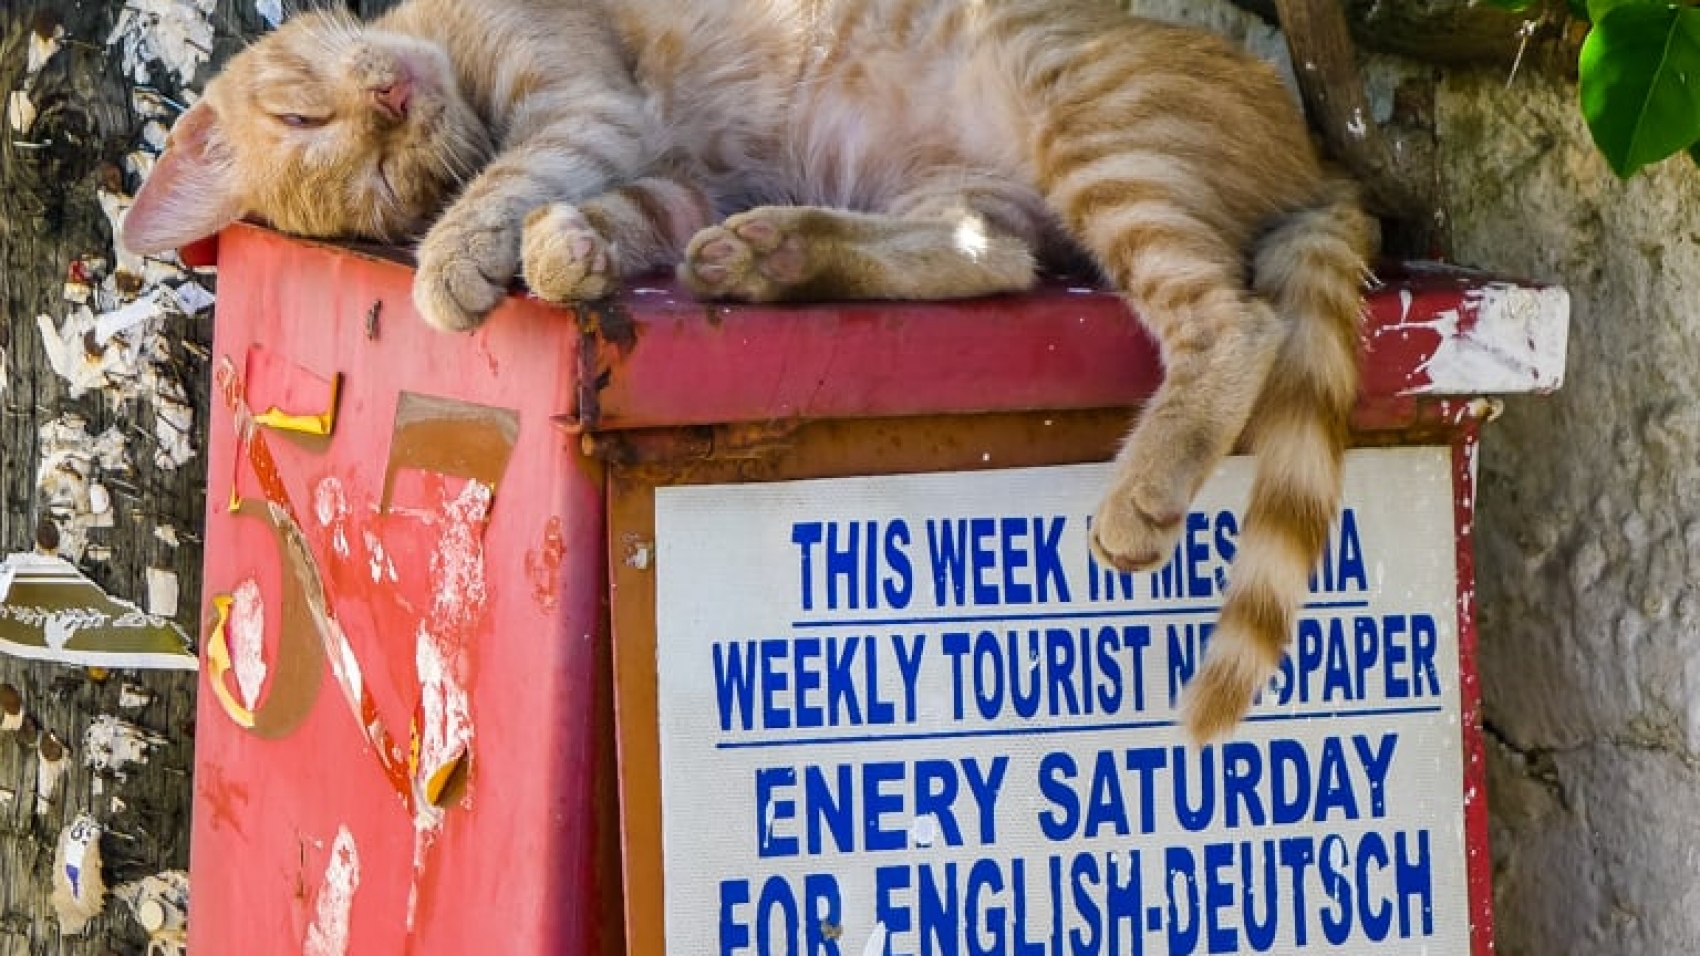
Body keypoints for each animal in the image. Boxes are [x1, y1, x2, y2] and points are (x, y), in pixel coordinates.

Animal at [123, 0, 1366, 738]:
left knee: (1232, 319)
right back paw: (767, 255)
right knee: (991, 254)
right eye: (385, 184)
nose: (394, 103)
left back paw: (1146, 483)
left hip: (1082, 117)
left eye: (305, 112)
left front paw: (463, 257)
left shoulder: (583, 102)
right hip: (984, 191)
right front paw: (556, 250)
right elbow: (585, 212)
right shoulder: (662, 176)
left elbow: (523, 173)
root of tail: (1323, 163)